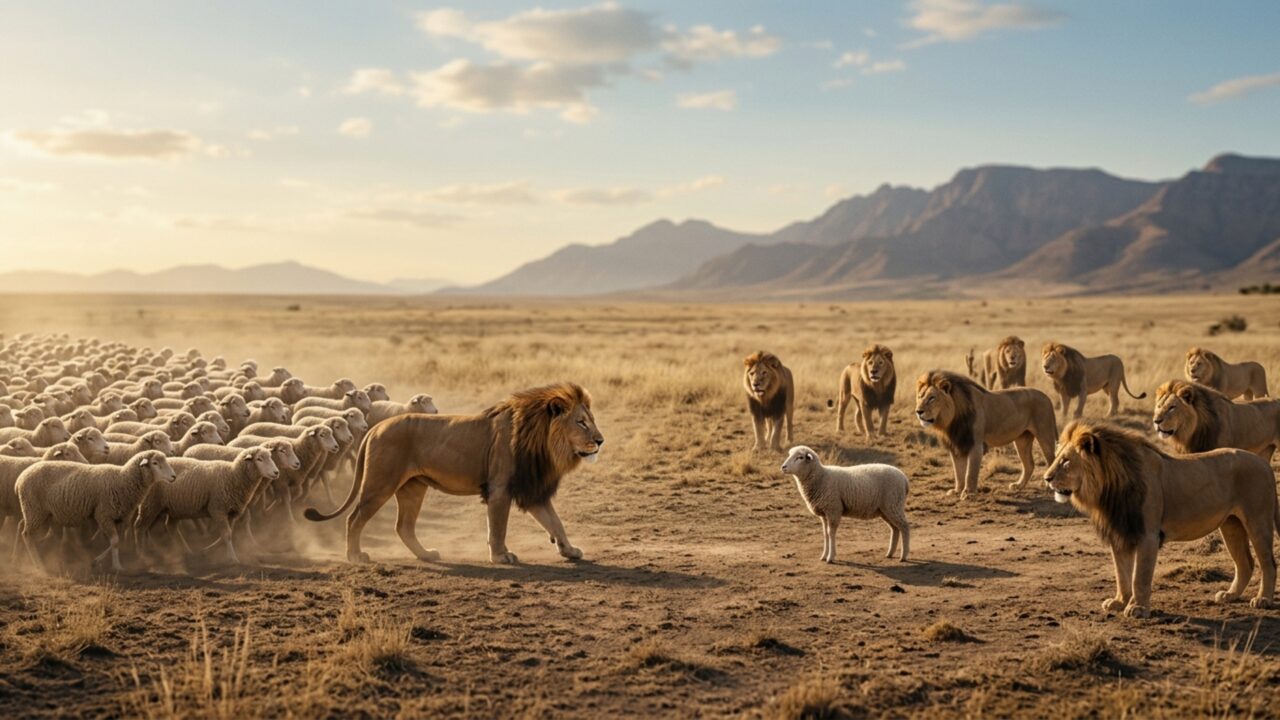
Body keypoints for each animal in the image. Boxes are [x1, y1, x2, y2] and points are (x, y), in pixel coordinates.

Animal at [304, 382, 603, 564]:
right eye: (581, 422)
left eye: (591, 420)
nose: (601, 441)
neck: (542, 441)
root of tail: (375, 428)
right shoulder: (500, 489)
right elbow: (498, 527)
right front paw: (501, 556)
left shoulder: (531, 489)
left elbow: (555, 522)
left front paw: (569, 550)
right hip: (380, 483)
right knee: (354, 518)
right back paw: (355, 556)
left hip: (413, 487)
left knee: (404, 526)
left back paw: (426, 555)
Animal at [915, 370, 1057, 496]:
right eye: (920, 397)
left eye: (932, 398)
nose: (918, 411)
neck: (952, 421)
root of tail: (1046, 396)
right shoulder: (957, 445)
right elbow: (958, 472)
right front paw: (957, 491)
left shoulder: (975, 445)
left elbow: (970, 472)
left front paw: (968, 493)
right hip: (1022, 439)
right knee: (1029, 464)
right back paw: (1018, 486)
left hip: (1045, 434)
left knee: (1052, 460)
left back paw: (1050, 487)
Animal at [1045, 421, 1278, 618]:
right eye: (1058, 458)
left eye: (1066, 461)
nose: (1047, 478)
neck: (1108, 491)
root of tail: (1264, 463)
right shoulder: (1120, 534)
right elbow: (1122, 574)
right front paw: (1119, 602)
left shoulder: (1148, 535)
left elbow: (1139, 577)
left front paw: (1138, 608)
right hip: (1231, 525)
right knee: (1245, 563)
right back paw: (1230, 595)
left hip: (1258, 520)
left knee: (1268, 563)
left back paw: (1263, 599)